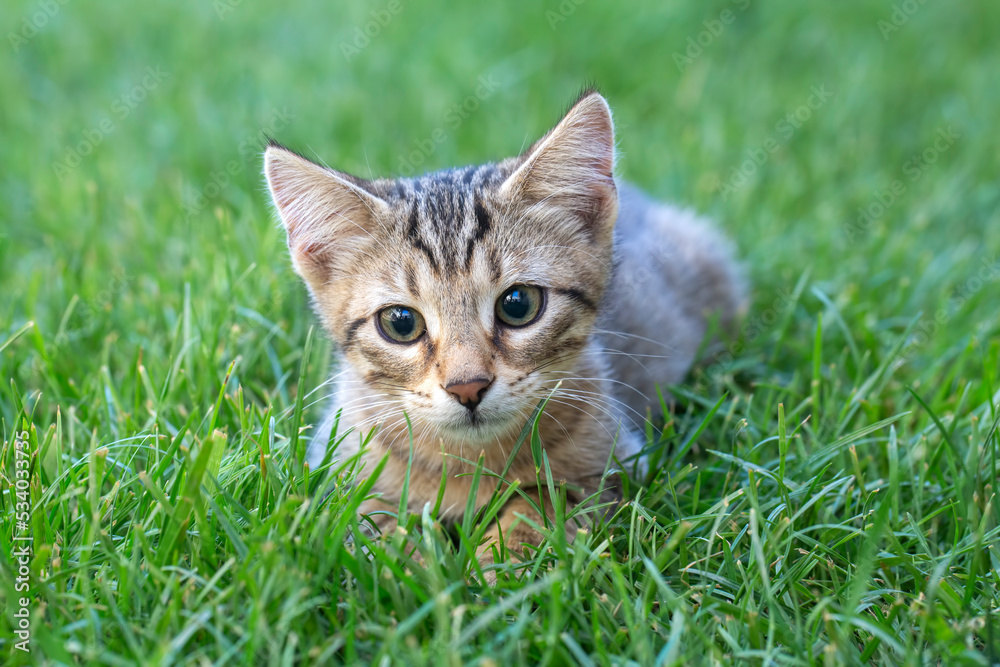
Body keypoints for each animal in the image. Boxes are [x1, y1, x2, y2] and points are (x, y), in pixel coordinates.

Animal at [262, 91, 748, 572]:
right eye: (400, 322)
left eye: (518, 305)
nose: (468, 387)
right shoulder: (335, 470)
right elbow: (366, 521)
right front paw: (409, 565)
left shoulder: (611, 465)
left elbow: (540, 506)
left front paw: (501, 565)